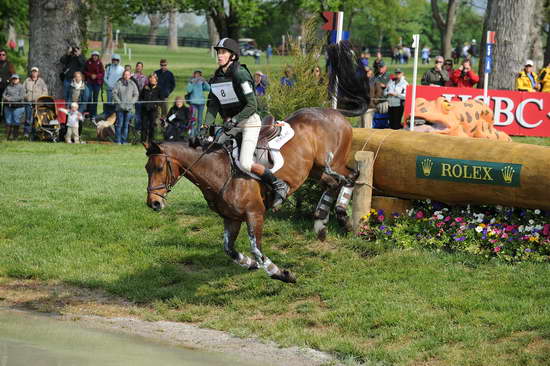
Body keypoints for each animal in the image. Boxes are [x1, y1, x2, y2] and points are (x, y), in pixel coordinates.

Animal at [144, 106, 358, 284]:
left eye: (159, 168)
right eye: (147, 168)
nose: (153, 203)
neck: (219, 170)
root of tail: (336, 113)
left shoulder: (255, 213)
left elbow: (256, 249)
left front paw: (282, 274)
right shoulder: (231, 218)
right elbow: (229, 250)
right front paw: (252, 264)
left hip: (333, 162)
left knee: (351, 176)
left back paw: (343, 217)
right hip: (315, 169)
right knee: (333, 184)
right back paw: (321, 223)